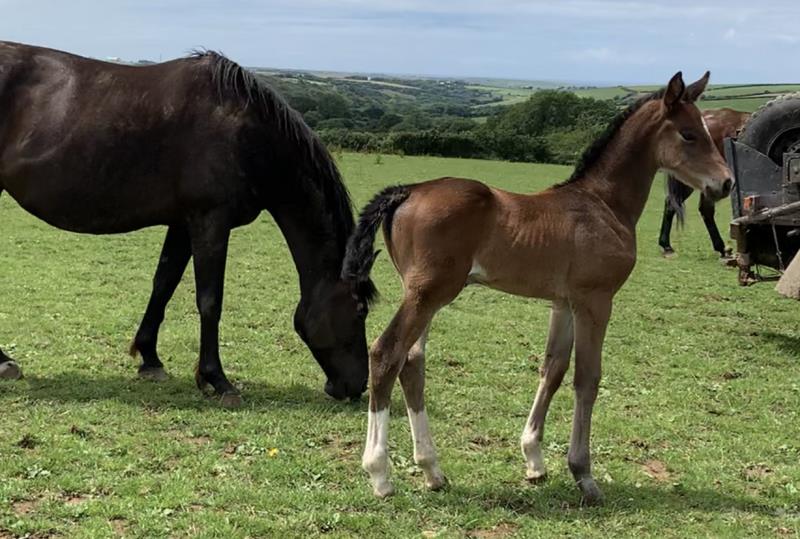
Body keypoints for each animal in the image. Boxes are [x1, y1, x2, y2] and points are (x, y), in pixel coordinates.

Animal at [0, 43, 374, 404]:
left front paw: (150, 359)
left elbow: (163, 284)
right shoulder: (210, 221)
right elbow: (210, 300)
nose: (356, 387)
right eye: (359, 311)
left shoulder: (182, 224)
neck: (247, 135)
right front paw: (217, 380)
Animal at [342, 70, 732, 502]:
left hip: (424, 295)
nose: (726, 183)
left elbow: (553, 369)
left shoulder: (563, 303)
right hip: (429, 293)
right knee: (386, 354)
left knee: (411, 362)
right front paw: (584, 474)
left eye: (707, 131)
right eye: (689, 134)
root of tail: (407, 190)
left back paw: (432, 470)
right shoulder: (595, 300)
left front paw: (534, 459)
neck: (603, 203)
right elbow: (587, 378)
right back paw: (380, 473)